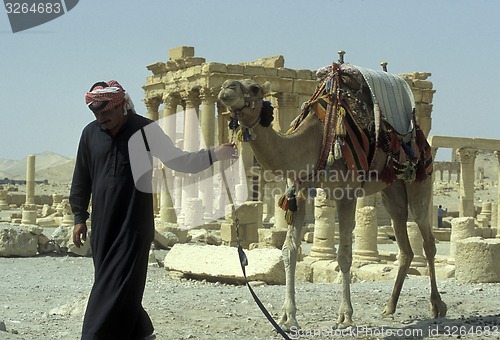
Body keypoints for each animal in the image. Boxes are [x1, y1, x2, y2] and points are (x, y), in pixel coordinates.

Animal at [217, 64, 448, 332]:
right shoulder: (299, 190)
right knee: (405, 245)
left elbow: (345, 254)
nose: (226, 88)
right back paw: (389, 307)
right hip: (391, 189)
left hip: (420, 178)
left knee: (427, 239)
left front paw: (345, 315)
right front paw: (287, 317)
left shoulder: (346, 192)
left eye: (254, 87)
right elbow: (289, 251)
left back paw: (437, 305)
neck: (316, 139)